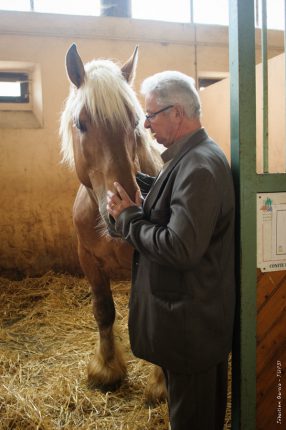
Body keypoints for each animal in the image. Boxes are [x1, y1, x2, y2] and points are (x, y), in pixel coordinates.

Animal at [60, 44, 165, 404]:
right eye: (81, 123)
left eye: (135, 121)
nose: (123, 211)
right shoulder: (88, 261)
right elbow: (104, 311)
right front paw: (106, 369)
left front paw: (159, 383)